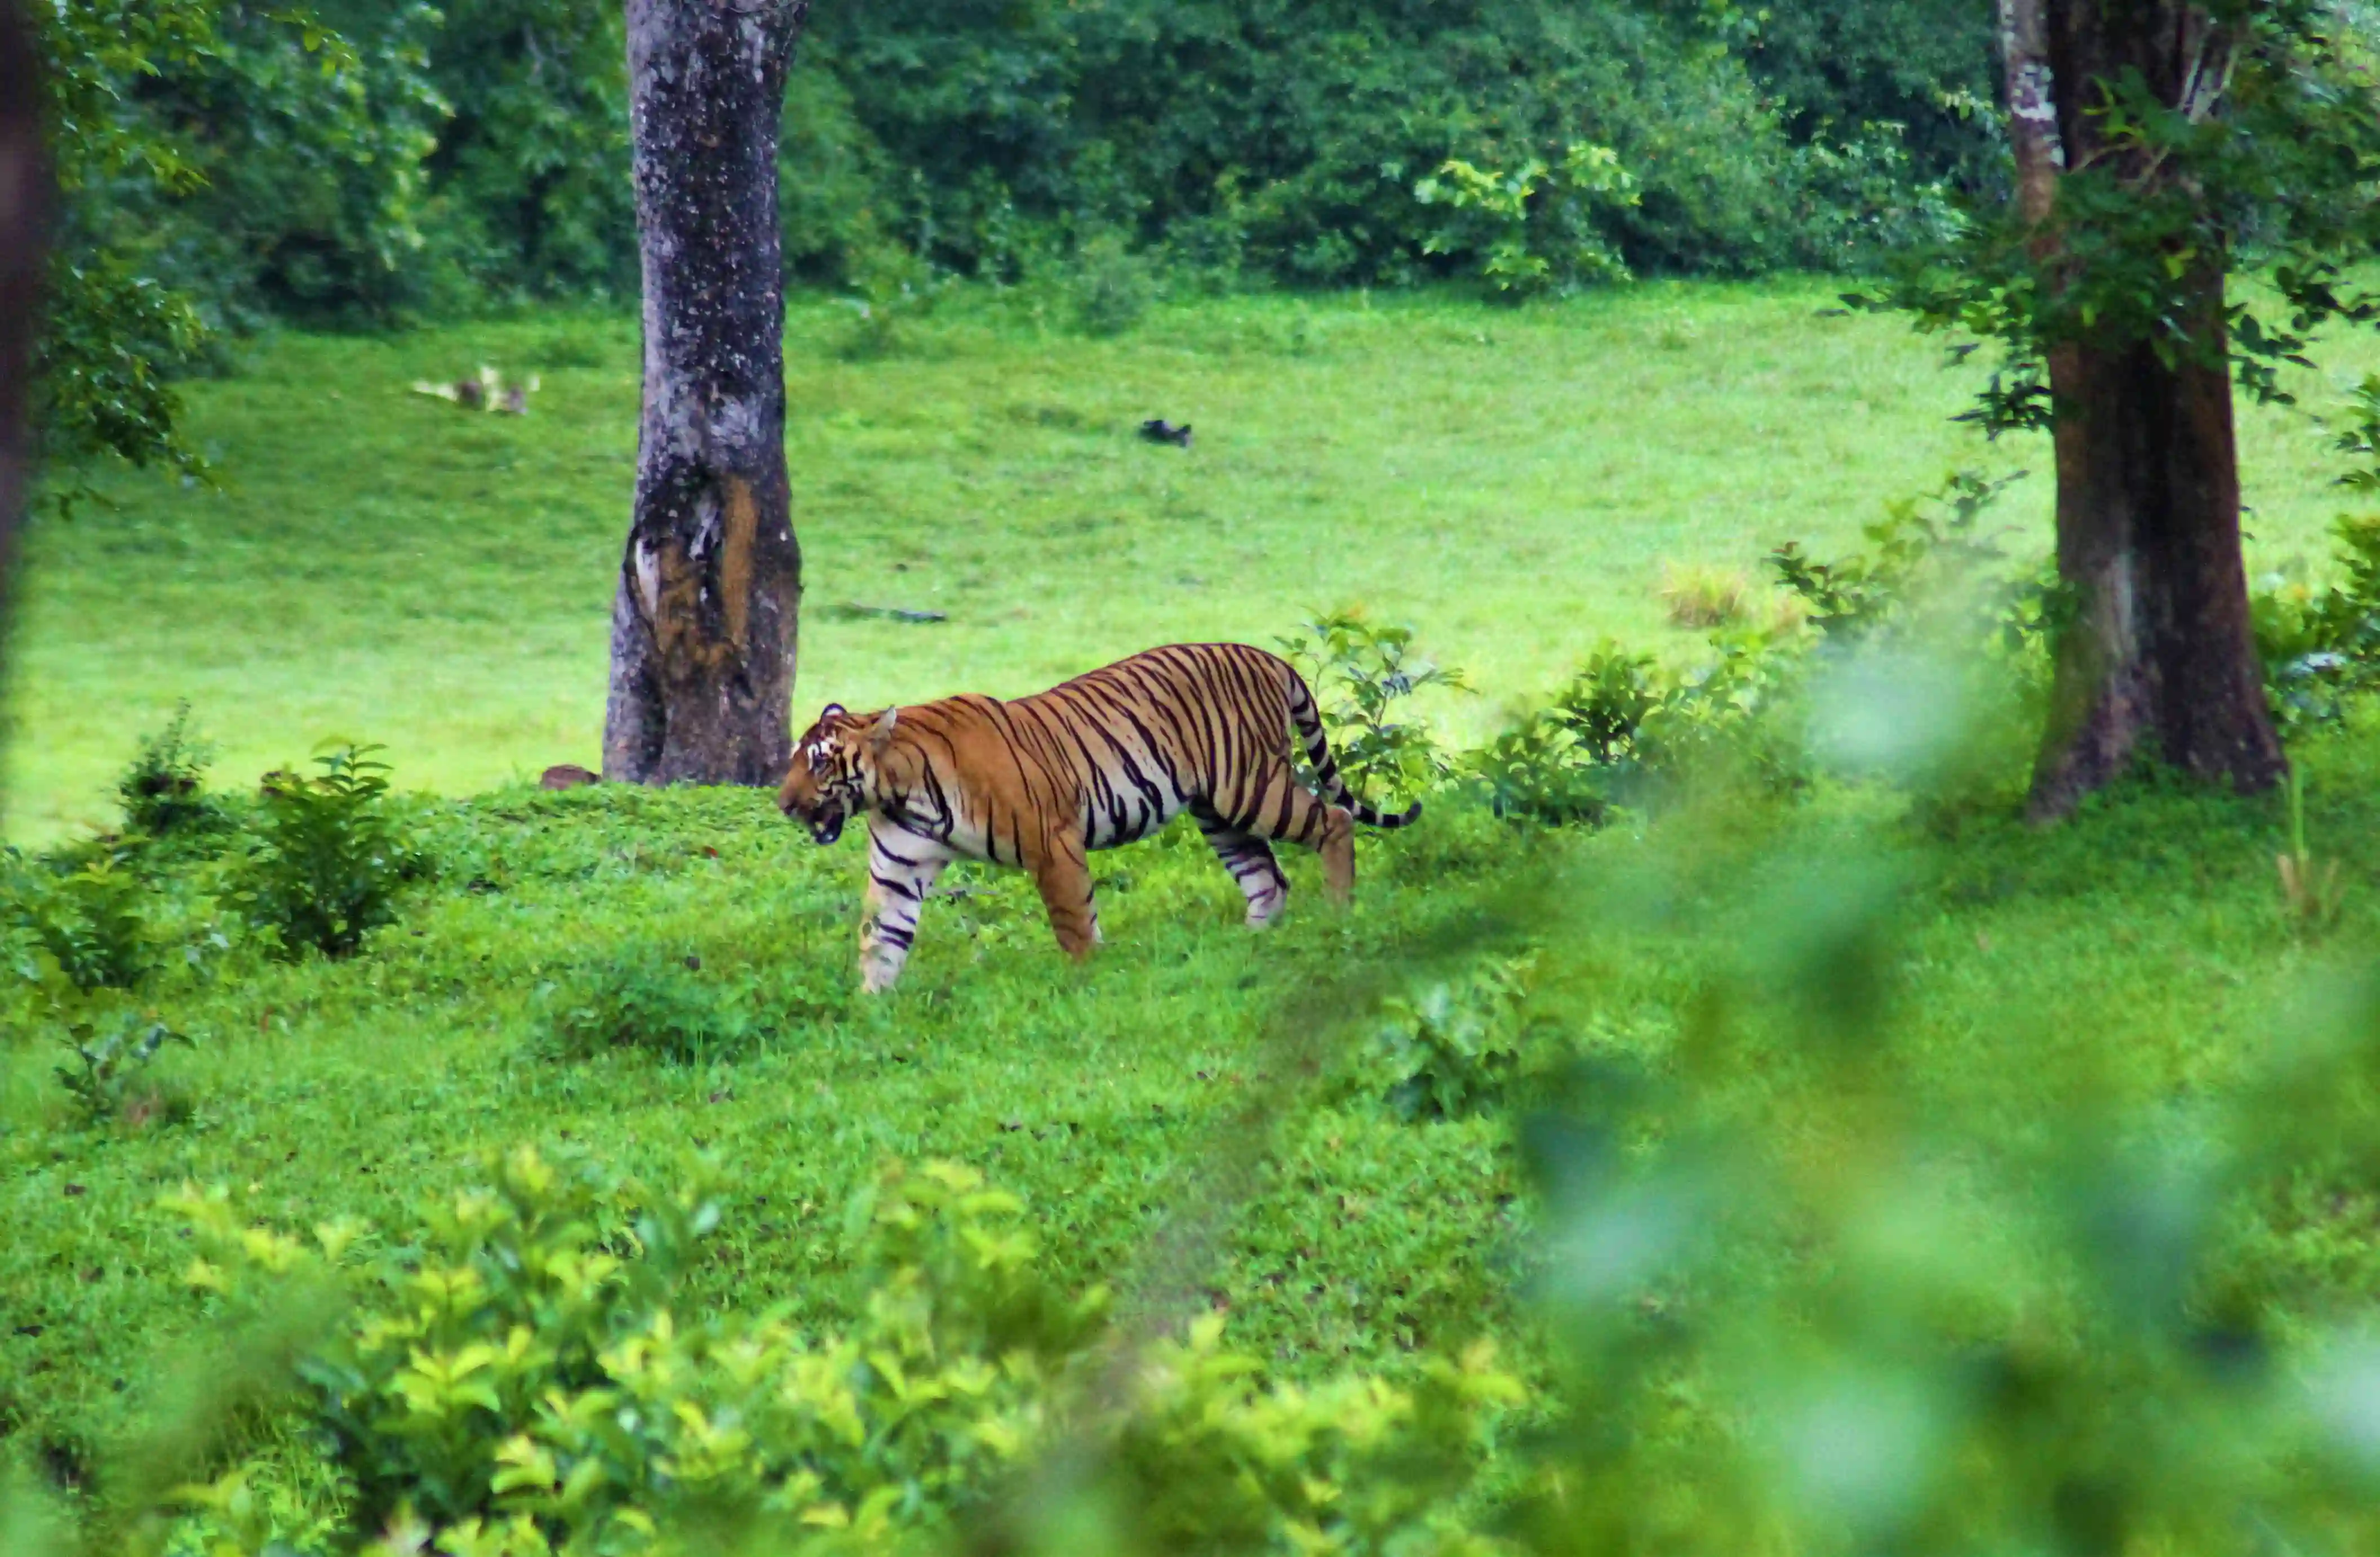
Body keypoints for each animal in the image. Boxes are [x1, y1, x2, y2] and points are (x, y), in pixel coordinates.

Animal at [774, 642, 1421, 992]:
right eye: (795, 760)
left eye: (820, 761)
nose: (782, 803)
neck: (899, 790)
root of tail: (1267, 657)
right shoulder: (897, 869)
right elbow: (881, 939)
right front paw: (870, 1006)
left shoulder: (1051, 840)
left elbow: (1073, 921)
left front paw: (1086, 980)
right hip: (1218, 813)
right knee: (1267, 878)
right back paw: (1252, 943)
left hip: (1251, 786)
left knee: (1335, 821)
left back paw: (1339, 915)